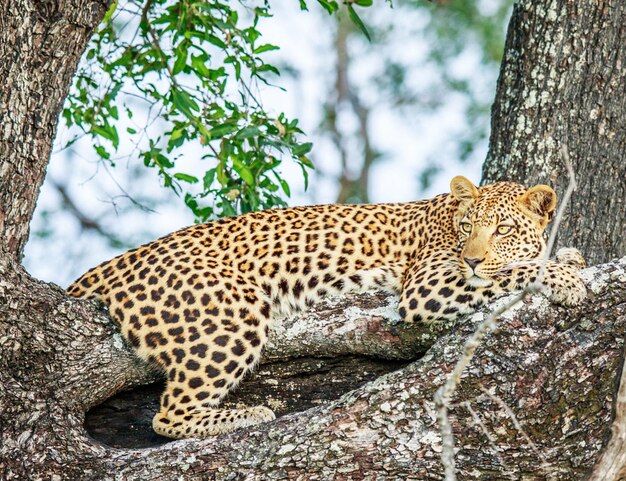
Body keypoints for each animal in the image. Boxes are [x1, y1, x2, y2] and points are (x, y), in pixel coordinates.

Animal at [66, 177, 584, 438]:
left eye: (503, 229)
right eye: (466, 227)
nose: (473, 257)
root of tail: (105, 268)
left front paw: (568, 256)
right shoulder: (428, 283)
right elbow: (513, 272)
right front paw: (567, 278)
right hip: (232, 310)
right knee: (168, 416)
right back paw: (250, 414)